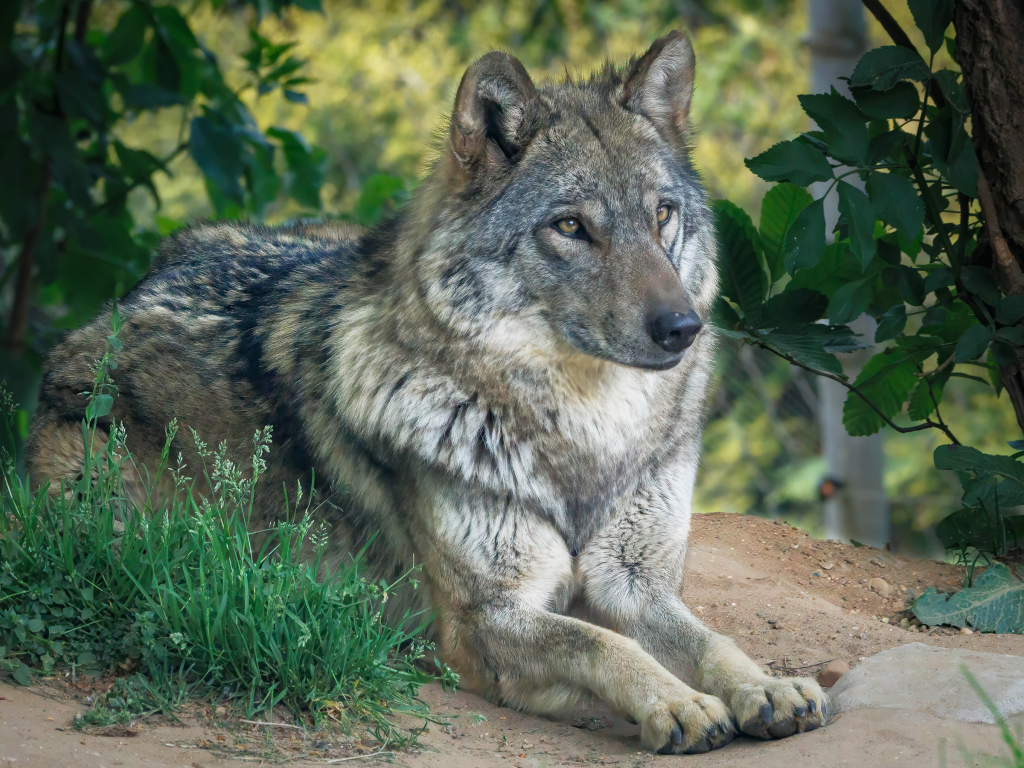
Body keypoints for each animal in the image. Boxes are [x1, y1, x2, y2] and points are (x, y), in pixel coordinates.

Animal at [27, 31, 828, 753]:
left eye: (662, 214)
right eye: (571, 227)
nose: (682, 328)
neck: (586, 438)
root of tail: (128, 293)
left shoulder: (638, 584)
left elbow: (711, 640)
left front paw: (767, 686)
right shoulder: (485, 620)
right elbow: (601, 646)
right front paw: (678, 705)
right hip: (113, 516)